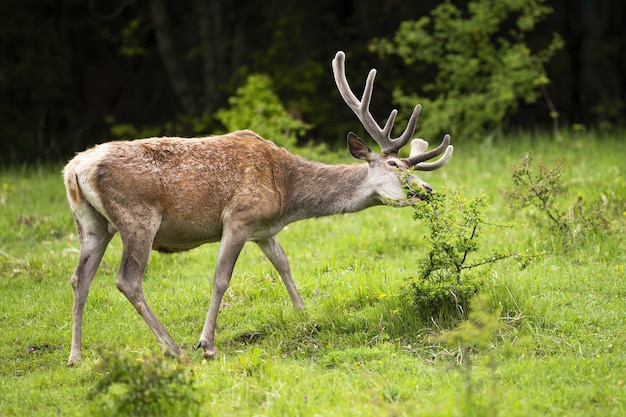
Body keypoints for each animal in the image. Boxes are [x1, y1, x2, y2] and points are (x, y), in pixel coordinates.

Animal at [63, 51, 450, 364]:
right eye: (396, 166)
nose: (428, 189)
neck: (287, 195)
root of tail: (74, 169)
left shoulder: (264, 230)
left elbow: (284, 265)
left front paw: (304, 314)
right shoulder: (239, 218)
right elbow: (221, 278)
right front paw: (207, 344)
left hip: (91, 223)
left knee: (80, 278)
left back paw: (76, 356)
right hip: (138, 217)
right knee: (127, 280)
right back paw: (173, 348)